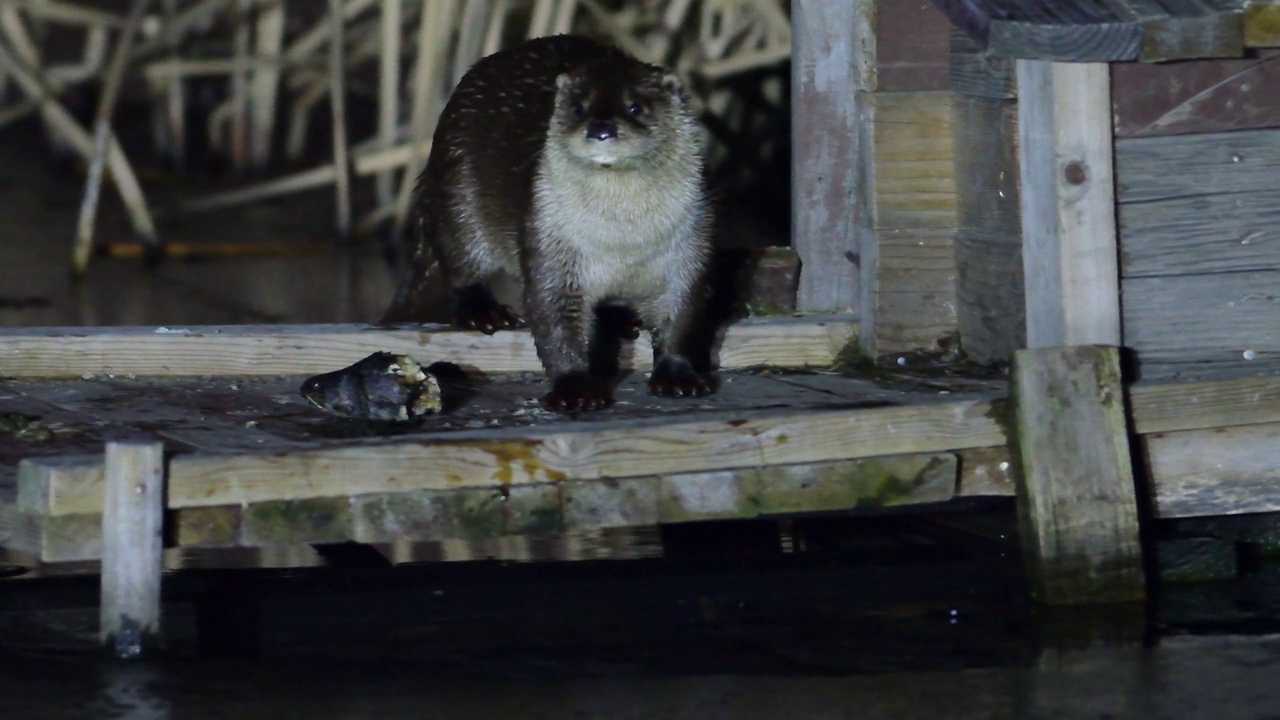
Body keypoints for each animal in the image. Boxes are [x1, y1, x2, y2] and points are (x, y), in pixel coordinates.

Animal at [384, 35, 716, 409]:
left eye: (636, 107)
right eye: (579, 108)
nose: (602, 129)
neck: (623, 243)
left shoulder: (689, 245)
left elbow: (682, 315)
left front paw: (677, 375)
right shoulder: (551, 243)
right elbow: (553, 317)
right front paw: (575, 389)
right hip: (457, 192)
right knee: (460, 265)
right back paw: (484, 312)